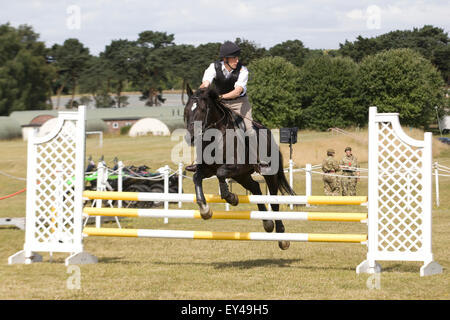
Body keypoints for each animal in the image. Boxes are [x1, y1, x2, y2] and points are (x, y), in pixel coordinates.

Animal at [183, 84, 296, 250]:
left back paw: (282, 237)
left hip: (268, 174)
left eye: (202, 110)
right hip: (242, 176)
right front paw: (205, 210)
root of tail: (268, 133)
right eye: (186, 110)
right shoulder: (208, 169)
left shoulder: (236, 166)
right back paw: (267, 222)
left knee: (274, 200)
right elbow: (197, 178)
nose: (190, 138)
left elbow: (221, 173)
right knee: (255, 188)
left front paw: (231, 197)